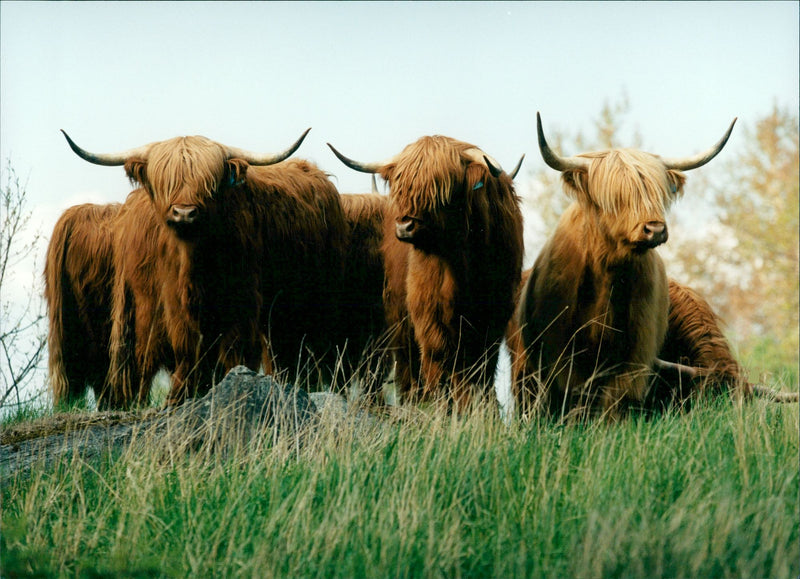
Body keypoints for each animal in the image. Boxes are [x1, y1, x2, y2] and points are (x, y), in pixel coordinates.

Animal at [61, 129, 350, 406]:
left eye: (207, 183)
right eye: (166, 182)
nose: (184, 213)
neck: (196, 264)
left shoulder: (243, 300)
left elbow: (235, 347)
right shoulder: (171, 303)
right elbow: (185, 345)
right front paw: (180, 394)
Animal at [326, 135, 524, 412]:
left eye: (442, 187)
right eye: (401, 186)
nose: (404, 226)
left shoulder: (494, 315)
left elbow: (482, 364)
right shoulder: (428, 309)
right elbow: (437, 355)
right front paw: (440, 404)